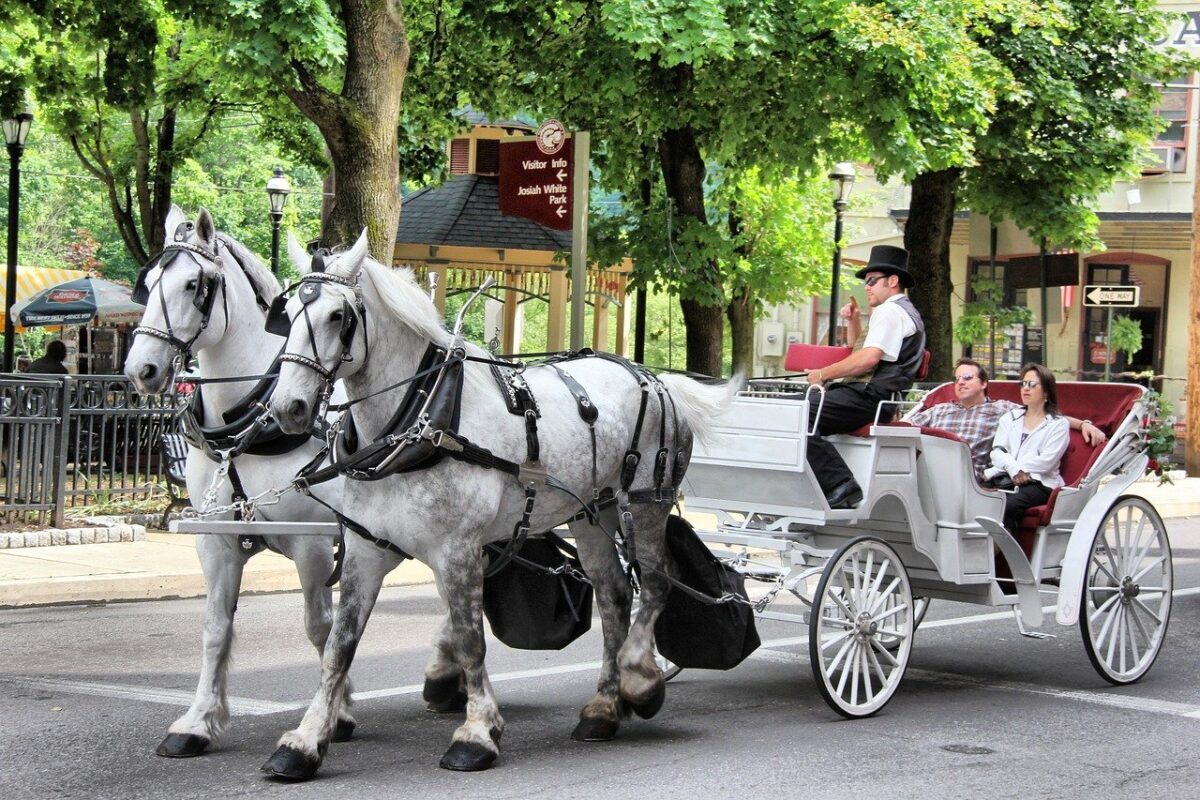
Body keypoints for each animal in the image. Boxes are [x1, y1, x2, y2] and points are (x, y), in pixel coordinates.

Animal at [127, 205, 360, 758]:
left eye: (194, 285)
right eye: (149, 282)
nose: (140, 369)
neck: (247, 422)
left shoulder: (312, 543)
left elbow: (321, 629)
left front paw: (335, 714)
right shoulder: (216, 540)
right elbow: (215, 628)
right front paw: (196, 722)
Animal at [258, 230, 734, 777]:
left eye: (338, 316)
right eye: (286, 314)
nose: (287, 408)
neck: (421, 415)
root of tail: (654, 377)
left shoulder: (458, 549)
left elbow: (470, 638)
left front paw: (477, 732)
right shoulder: (366, 549)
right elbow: (340, 646)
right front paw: (306, 740)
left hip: (646, 502)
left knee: (654, 584)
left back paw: (639, 678)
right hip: (591, 515)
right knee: (614, 594)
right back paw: (603, 708)